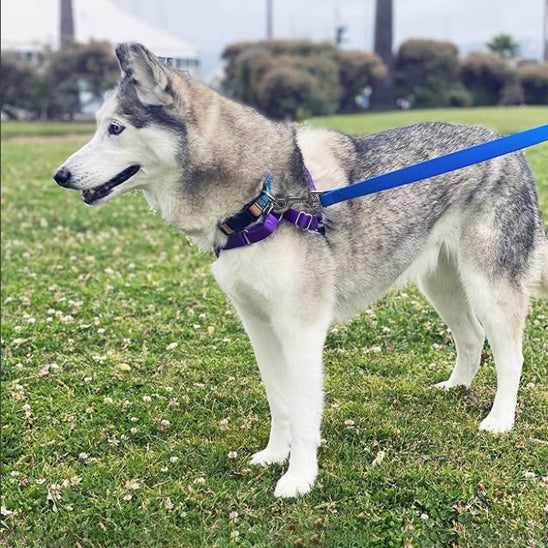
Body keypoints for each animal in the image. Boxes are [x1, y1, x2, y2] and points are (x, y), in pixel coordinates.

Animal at [54, 42, 548, 496]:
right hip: (440, 283)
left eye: (115, 128)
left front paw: (299, 477)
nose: (60, 176)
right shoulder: (259, 327)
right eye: (99, 126)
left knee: (511, 355)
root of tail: (510, 149)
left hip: (487, 286)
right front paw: (276, 454)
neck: (260, 200)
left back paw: (500, 419)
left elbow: (306, 410)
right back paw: (457, 386)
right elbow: (281, 401)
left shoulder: (301, 329)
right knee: (471, 337)